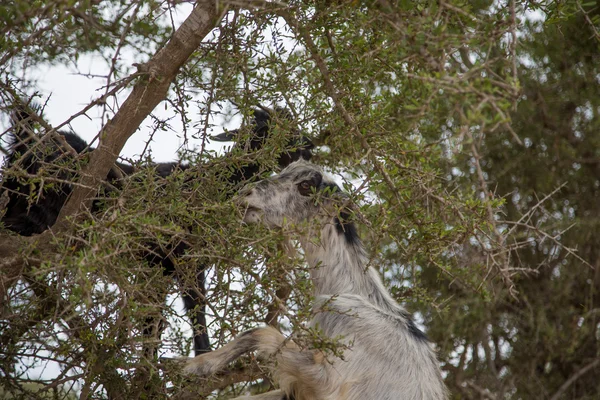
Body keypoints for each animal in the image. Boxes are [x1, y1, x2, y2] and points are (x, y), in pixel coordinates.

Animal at [1, 102, 314, 356]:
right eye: (268, 128)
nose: (308, 147)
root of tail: (23, 142)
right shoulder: (183, 256)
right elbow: (194, 306)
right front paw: (202, 354)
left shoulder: (160, 268)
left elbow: (154, 321)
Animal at [185, 160, 448, 400]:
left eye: (305, 185)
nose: (245, 195)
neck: (353, 291)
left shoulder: (327, 377)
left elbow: (260, 333)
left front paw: (193, 365)